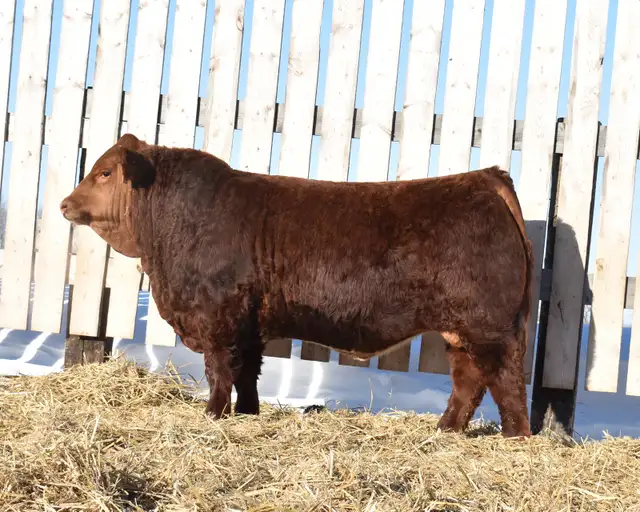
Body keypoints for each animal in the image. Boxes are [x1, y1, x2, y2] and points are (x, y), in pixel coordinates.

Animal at [60, 133, 533, 438]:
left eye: (104, 173)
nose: (65, 203)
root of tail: (484, 177)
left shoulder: (219, 317)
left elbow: (220, 371)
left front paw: (214, 415)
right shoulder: (249, 325)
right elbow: (248, 373)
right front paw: (247, 414)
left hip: (488, 327)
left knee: (505, 380)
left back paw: (514, 438)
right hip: (462, 330)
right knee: (468, 380)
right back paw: (444, 431)